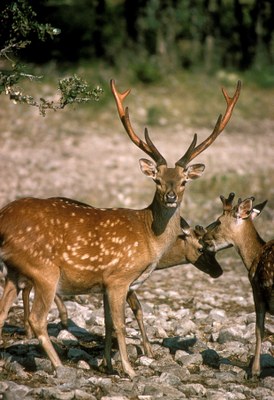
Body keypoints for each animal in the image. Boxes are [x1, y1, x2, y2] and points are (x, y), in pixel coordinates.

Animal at [0, 79, 240, 376]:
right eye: (157, 180)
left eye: (184, 180)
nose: (171, 196)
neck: (149, 236)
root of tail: (3, 218)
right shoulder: (118, 278)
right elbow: (120, 324)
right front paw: (129, 369)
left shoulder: (104, 283)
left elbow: (107, 325)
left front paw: (108, 365)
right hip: (44, 269)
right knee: (37, 318)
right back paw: (59, 365)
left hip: (14, 270)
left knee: (2, 312)